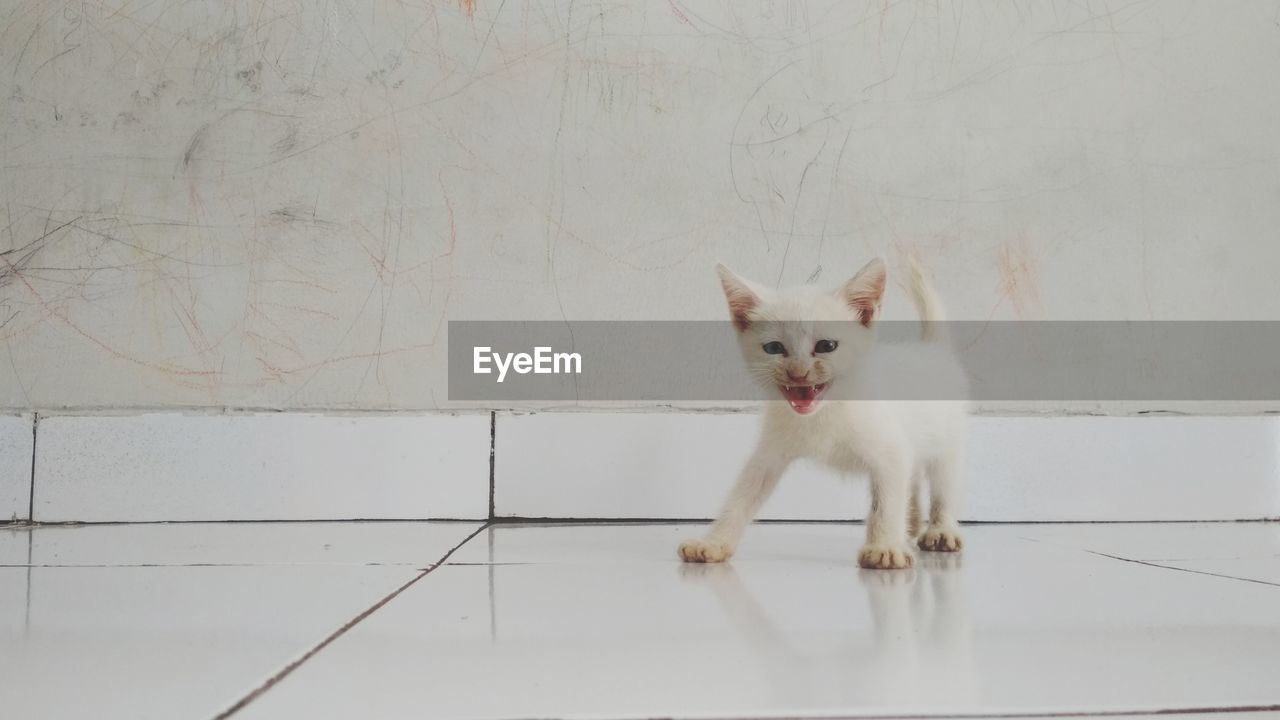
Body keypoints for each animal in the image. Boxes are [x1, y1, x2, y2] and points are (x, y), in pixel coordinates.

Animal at [680, 256, 967, 566]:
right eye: (773, 348)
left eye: (826, 346)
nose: (798, 373)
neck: (825, 412)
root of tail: (932, 348)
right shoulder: (769, 454)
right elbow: (742, 496)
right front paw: (714, 542)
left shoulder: (891, 452)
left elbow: (886, 502)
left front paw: (885, 547)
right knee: (912, 477)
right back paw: (912, 523)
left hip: (947, 442)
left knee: (943, 483)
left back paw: (940, 530)